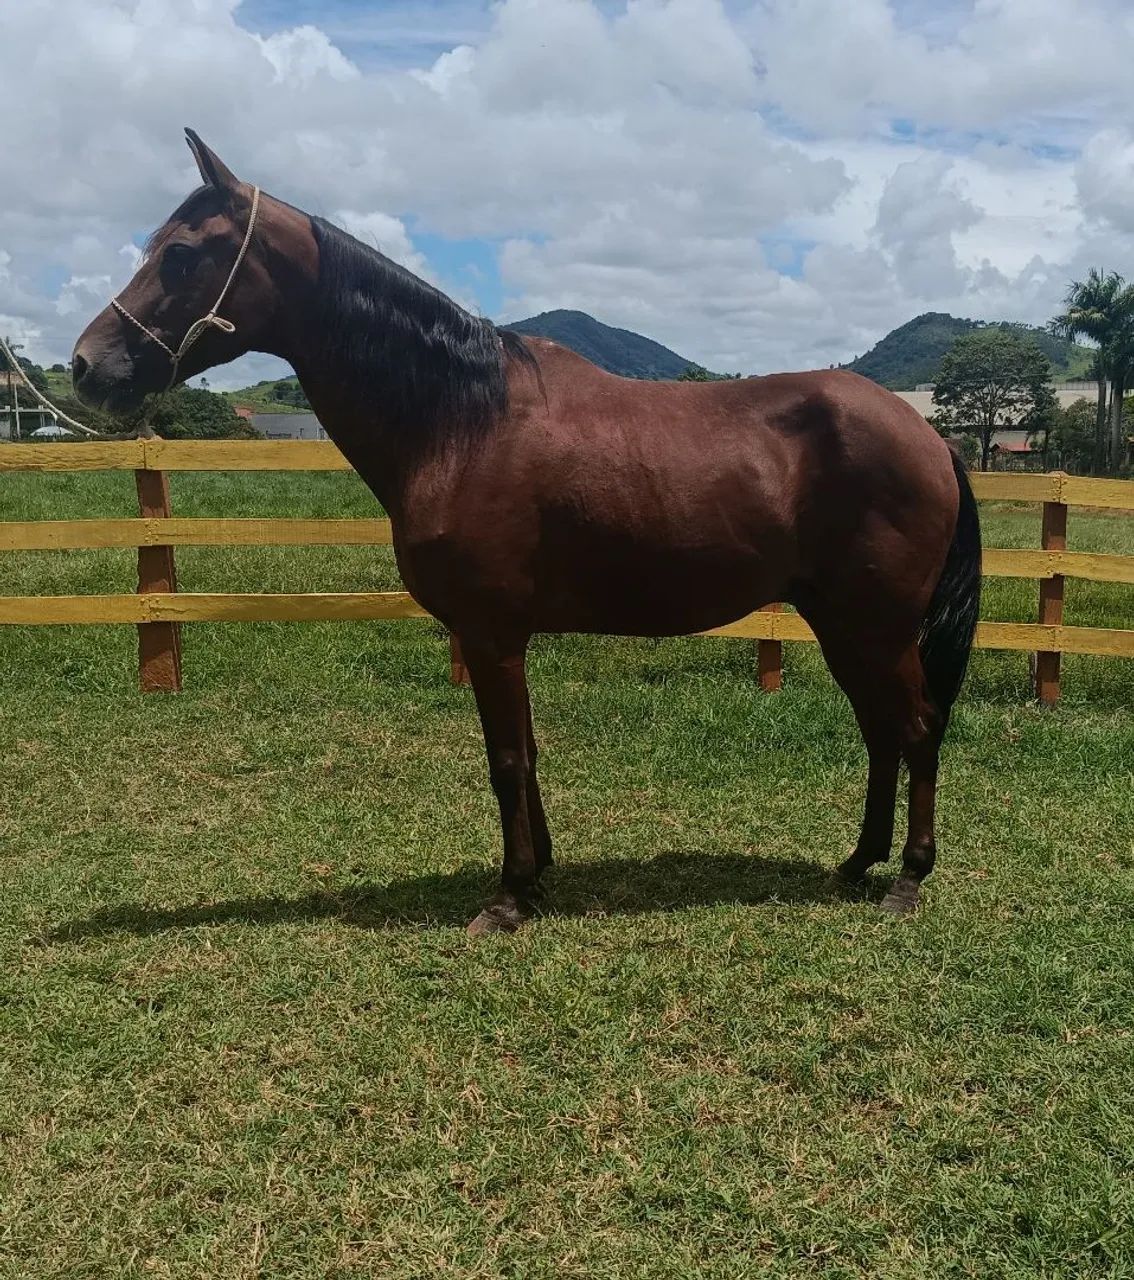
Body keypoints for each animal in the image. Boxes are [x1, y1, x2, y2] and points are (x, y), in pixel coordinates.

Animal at [73, 130, 981, 935]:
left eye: (181, 253)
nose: (87, 364)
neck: (461, 420)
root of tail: (927, 434)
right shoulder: (501, 637)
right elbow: (527, 753)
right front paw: (538, 873)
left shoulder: (490, 632)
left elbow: (506, 758)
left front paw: (508, 898)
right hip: (843, 624)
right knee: (882, 733)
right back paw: (857, 863)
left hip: (876, 624)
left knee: (916, 729)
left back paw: (907, 878)